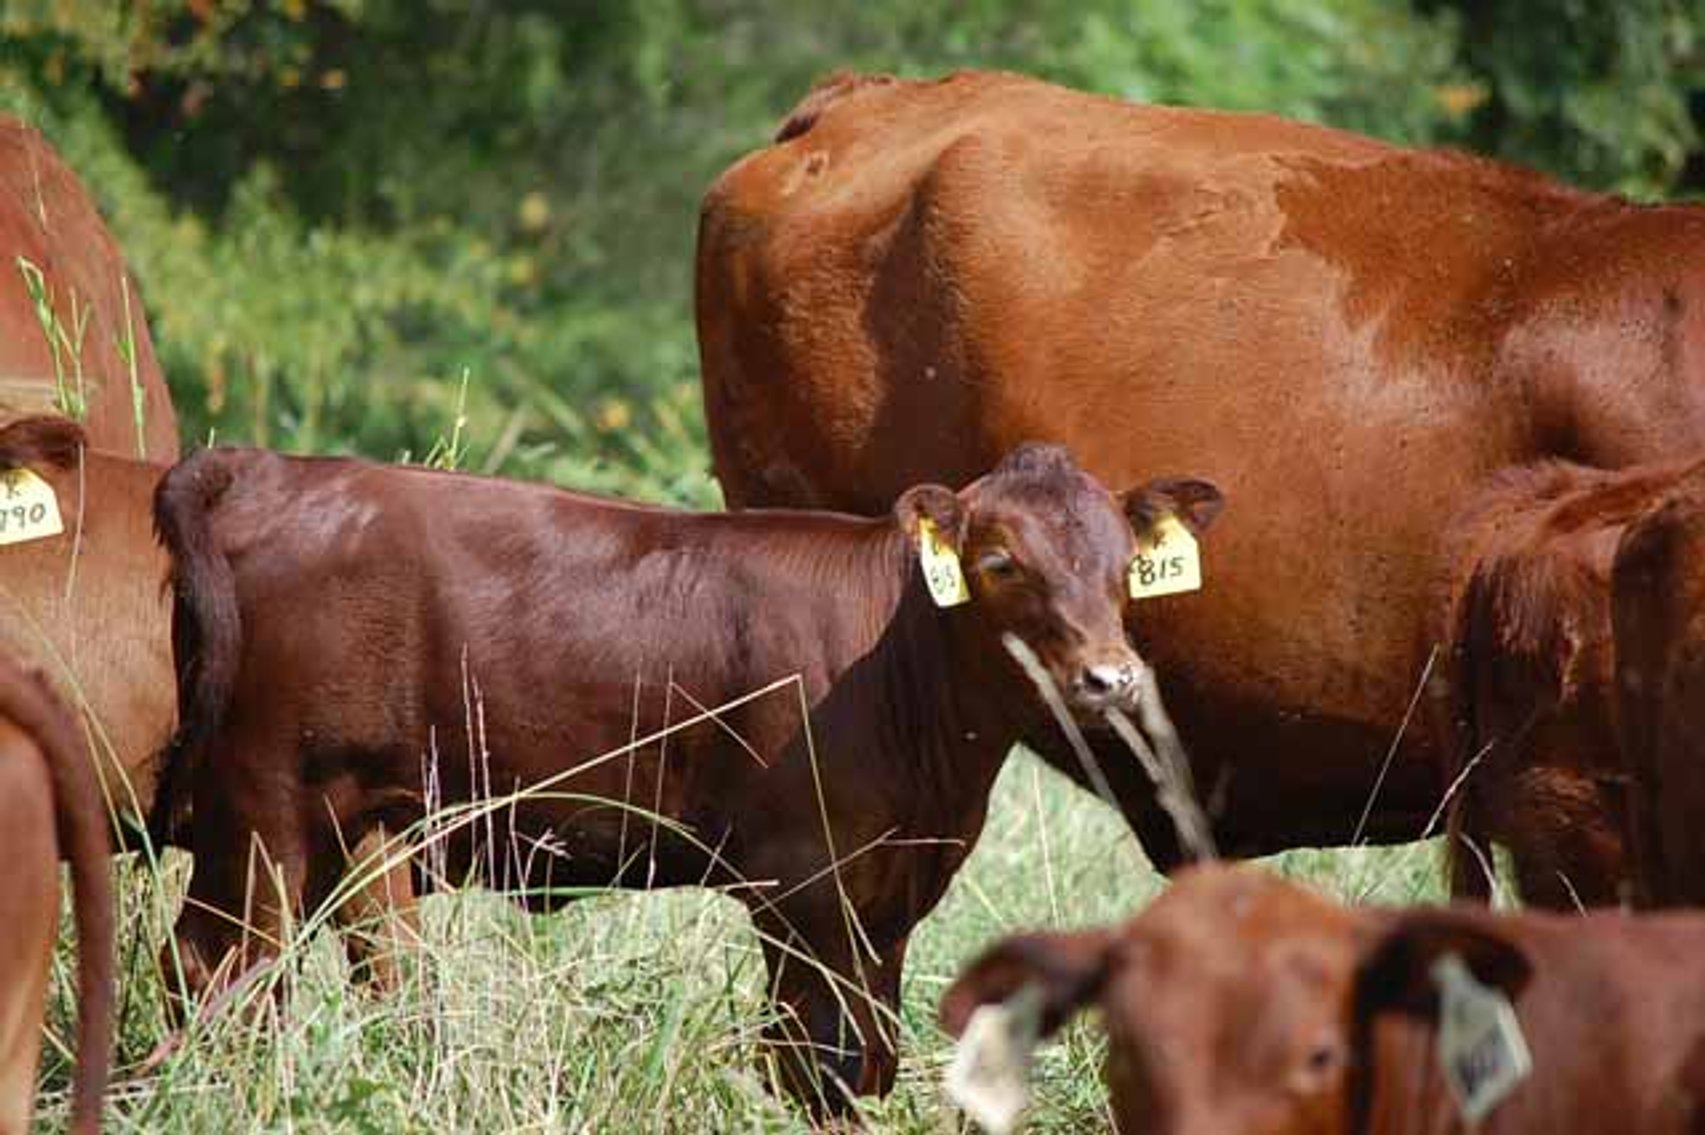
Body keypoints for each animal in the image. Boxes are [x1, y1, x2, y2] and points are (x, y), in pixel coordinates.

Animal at [151, 439, 1222, 1114]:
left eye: (1124, 562)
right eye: (999, 560)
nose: (1110, 677)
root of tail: (274, 469)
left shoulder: (888, 896)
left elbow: (869, 1055)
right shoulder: (801, 884)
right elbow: (810, 1060)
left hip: (363, 820)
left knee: (374, 969)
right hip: (265, 808)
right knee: (221, 973)